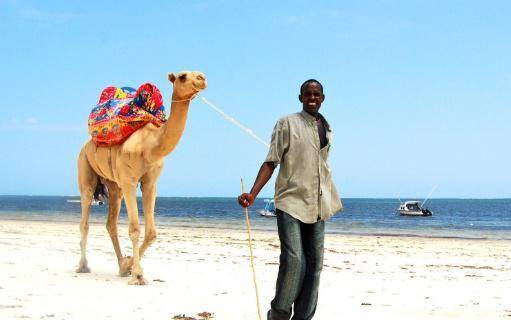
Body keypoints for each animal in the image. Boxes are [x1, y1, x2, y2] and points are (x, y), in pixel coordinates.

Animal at [75, 70, 206, 284]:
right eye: (183, 76)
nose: (202, 78)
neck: (150, 145)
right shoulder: (129, 181)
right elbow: (135, 229)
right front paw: (137, 275)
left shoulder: (150, 183)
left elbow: (151, 233)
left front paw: (129, 265)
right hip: (85, 167)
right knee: (85, 219)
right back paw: (83, 266)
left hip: (114, 186)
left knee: (110, 223)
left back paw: (121, 266)